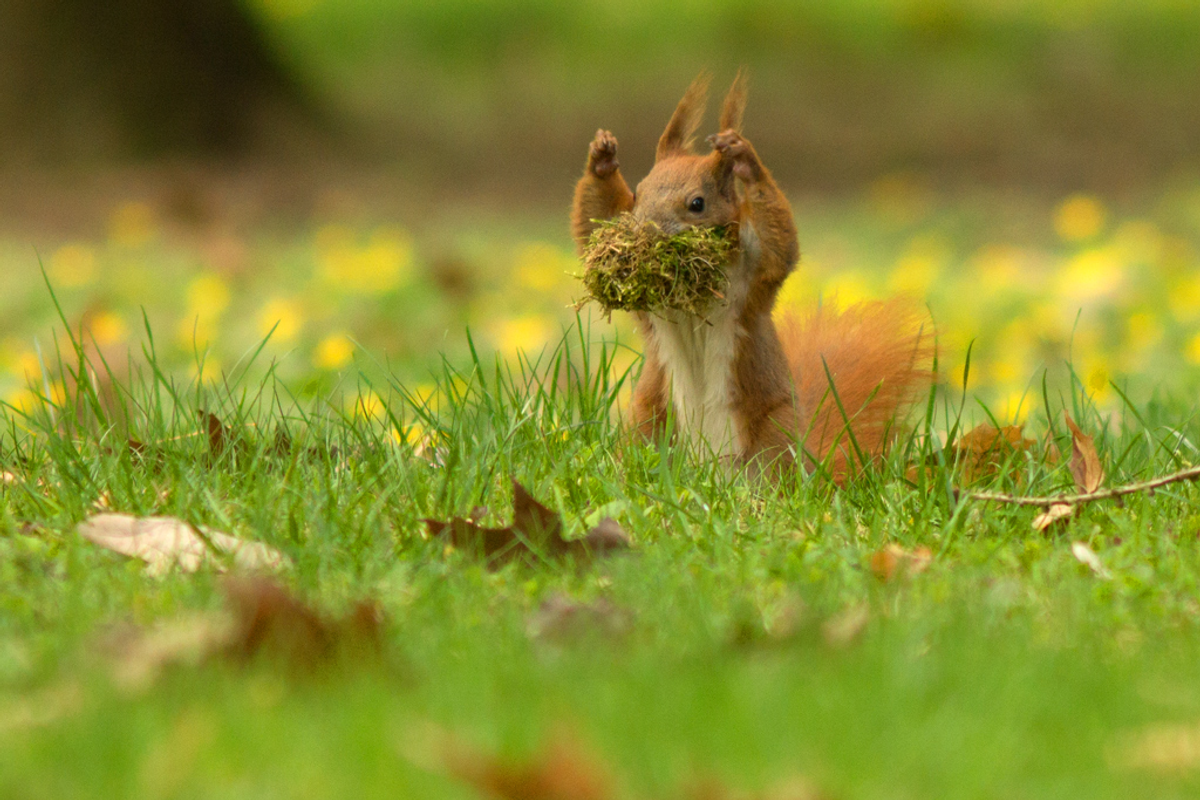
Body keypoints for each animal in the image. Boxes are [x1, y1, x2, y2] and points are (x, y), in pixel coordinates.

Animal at [566, 70, 931, 482]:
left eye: (697, 204)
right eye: (638, 194)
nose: (645, 231)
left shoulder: (754, 268)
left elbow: (779, 246)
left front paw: (745, 160)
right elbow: (593, 224)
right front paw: (602, 159)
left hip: (774, 434)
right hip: (647, 419)